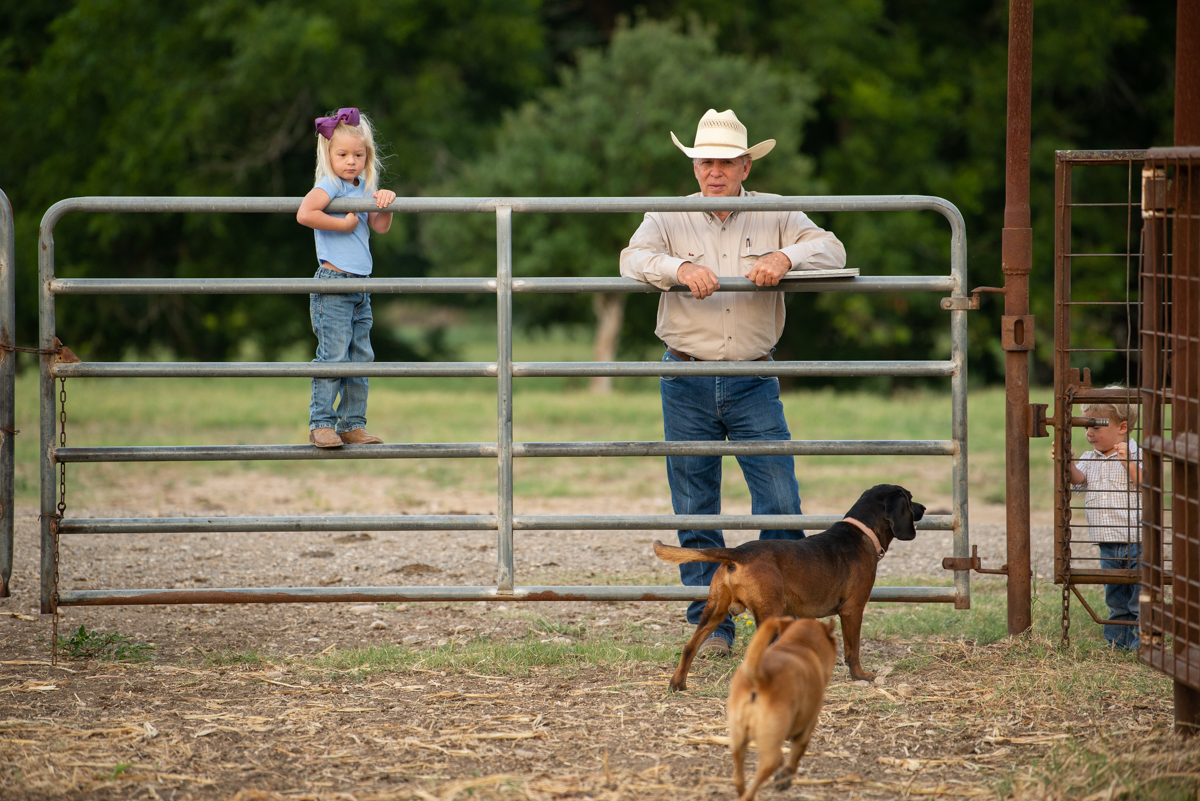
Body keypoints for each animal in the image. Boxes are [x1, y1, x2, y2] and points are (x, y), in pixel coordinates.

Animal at [657, 484, 916, 690]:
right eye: (910, 499)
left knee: (689, 646)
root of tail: (738, 553)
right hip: (769, 613)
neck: (862, 531)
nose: (922, 508)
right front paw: (860, 676)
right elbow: (853, 651)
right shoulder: (852, 610)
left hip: (714, 611)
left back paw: (678, 683)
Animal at [724, 618, 840, 801]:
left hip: (738, 738)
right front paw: (785, 777)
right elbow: (794, 758)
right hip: (771, 739)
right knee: (768, 766)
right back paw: (752, 793)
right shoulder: (806, 730)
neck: (799, 643)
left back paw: (743, 789)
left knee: (739, 773)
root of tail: (759, 678)